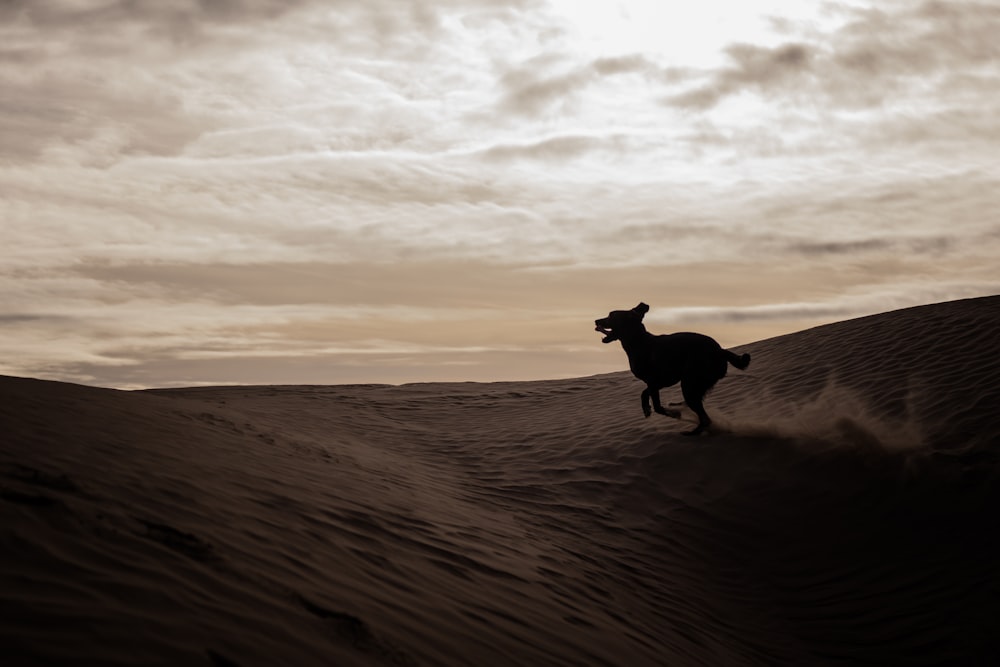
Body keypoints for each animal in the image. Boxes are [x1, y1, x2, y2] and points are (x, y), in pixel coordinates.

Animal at [592, 304, 752, 438]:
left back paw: (692, 431)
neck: (639, 342)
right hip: (696, 384)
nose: (596, 320)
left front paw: (674, 414)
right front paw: (646, 409)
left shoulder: (656, 382)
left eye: (611, 315)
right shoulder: (658, 383)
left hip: (689, 383)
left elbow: (657, 407)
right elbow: (644, 394)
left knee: (705, 418)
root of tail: (720, 351)